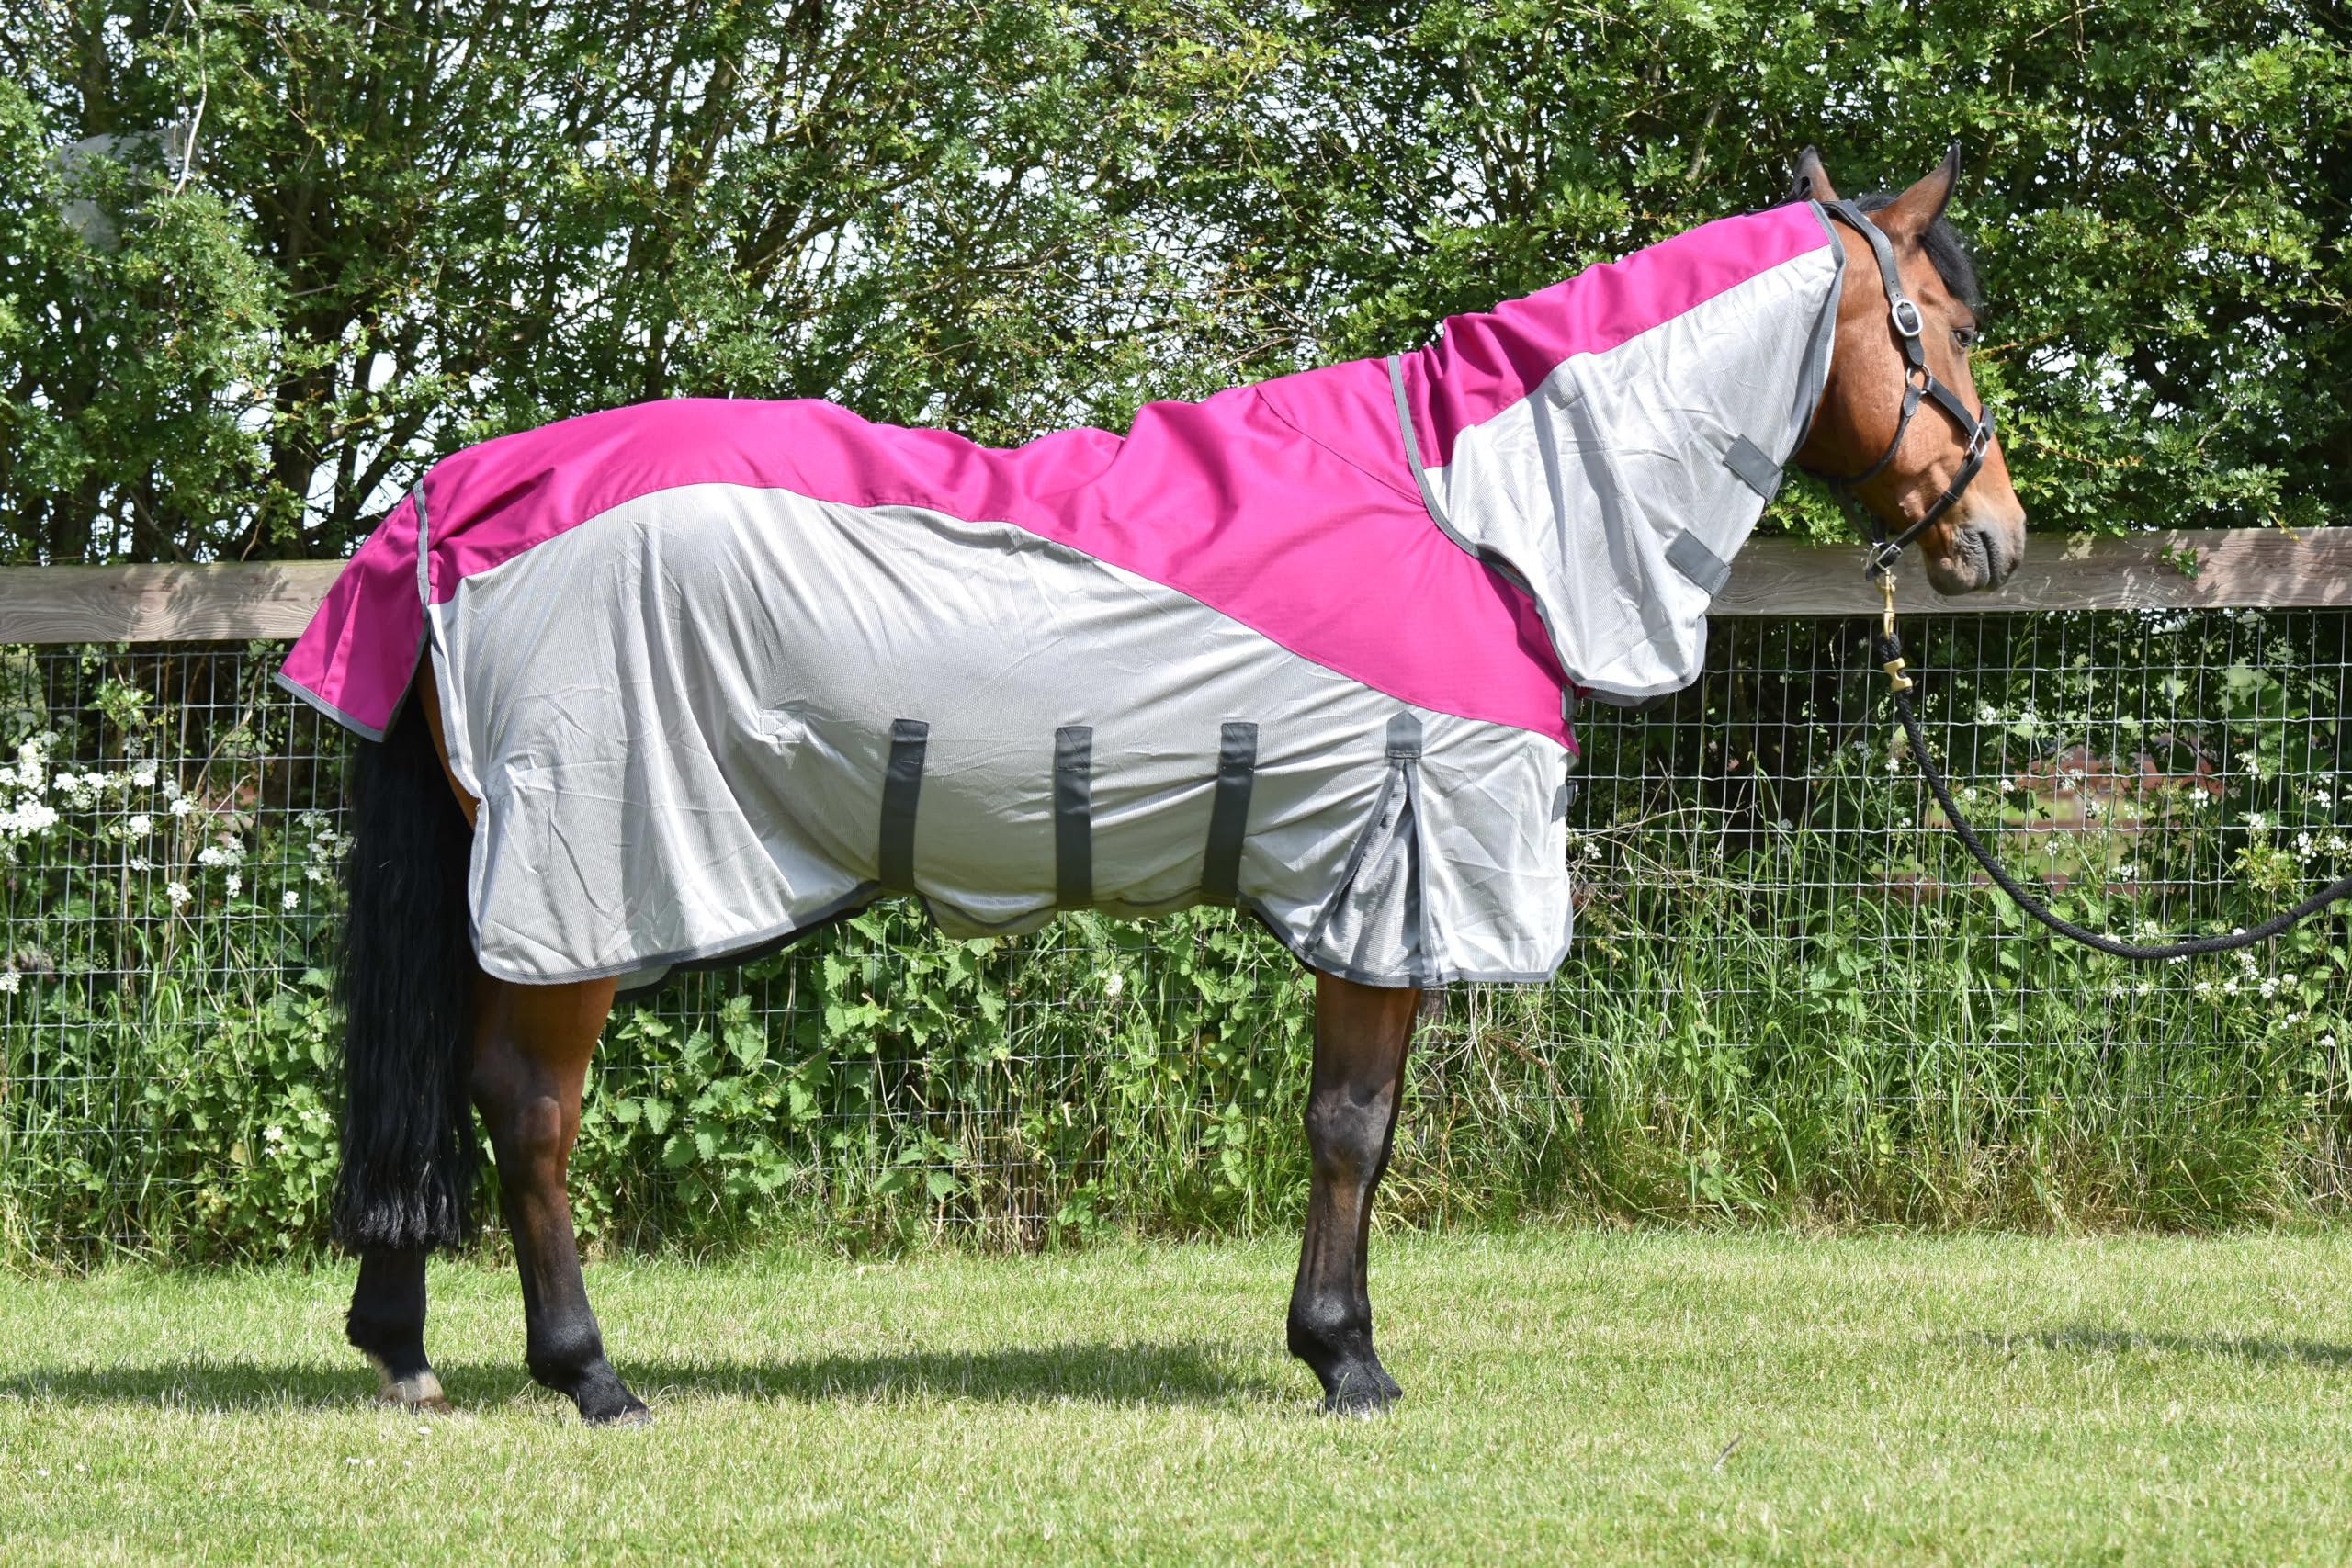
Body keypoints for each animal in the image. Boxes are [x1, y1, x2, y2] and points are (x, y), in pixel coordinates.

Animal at [285, 147, 2026, 1424]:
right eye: (1943, 326)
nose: (1993, 539)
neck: (1479, 512)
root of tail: (461, 494)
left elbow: (1357, 1124)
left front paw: (1334, 1340)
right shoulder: (1390, 876)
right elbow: (1352, 1124)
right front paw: (1346, 1354)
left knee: (445, 1091)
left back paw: (407, 1346)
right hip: (583, 879)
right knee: (530, 1109)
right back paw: (589, 1374)